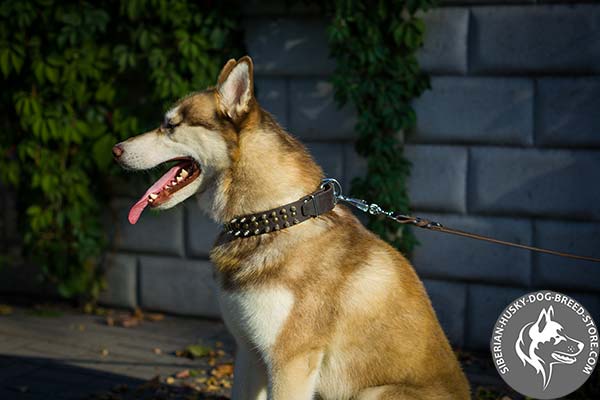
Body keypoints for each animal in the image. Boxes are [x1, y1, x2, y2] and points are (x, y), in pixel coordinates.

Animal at [112, 54, 468, 398]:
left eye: (170, 125)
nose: (115, 150)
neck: (273, 218)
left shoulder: (290, 362)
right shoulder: (249, 352)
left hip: (373, 393)